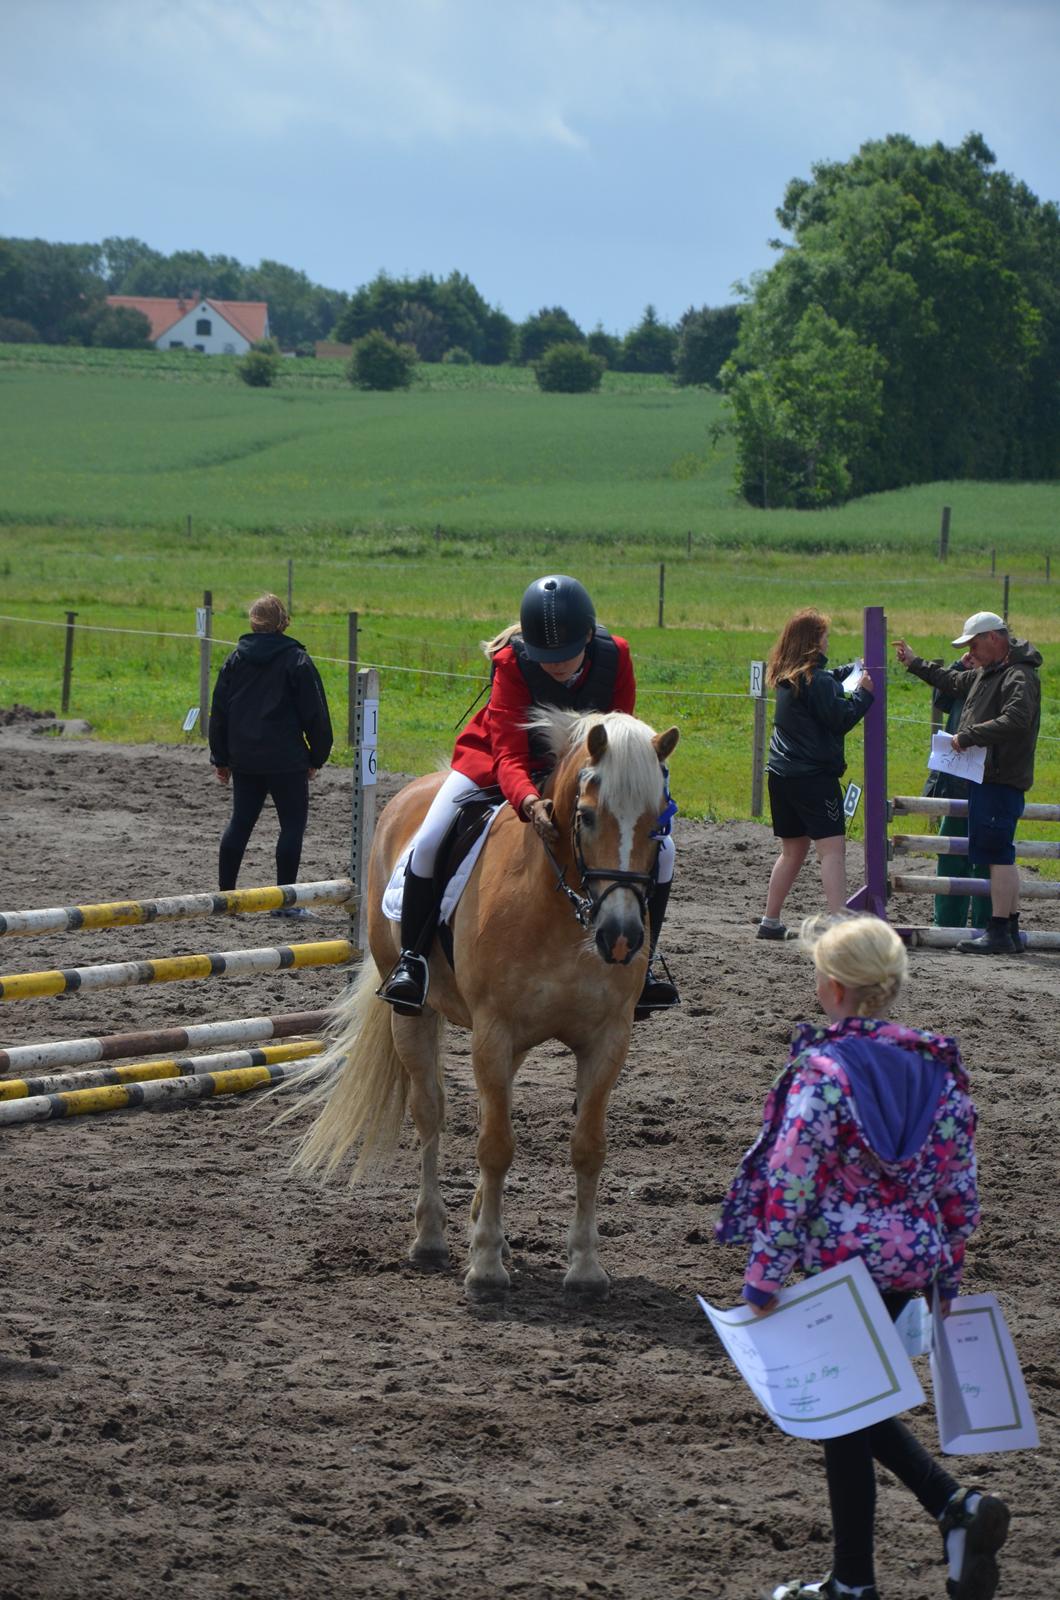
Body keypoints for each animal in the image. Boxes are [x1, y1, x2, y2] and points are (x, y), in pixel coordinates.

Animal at [288, 713, 682, 1299]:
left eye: (659, 824)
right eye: (587, 816)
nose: (621, 938)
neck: (559, 908)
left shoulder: (607, 1039)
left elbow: (588, 1146)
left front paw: (585, 1268)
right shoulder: (493, 1033)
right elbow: (495, 1144)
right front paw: (487, 1268)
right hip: (415, 1016)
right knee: (430, 1112)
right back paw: (431, 1238)